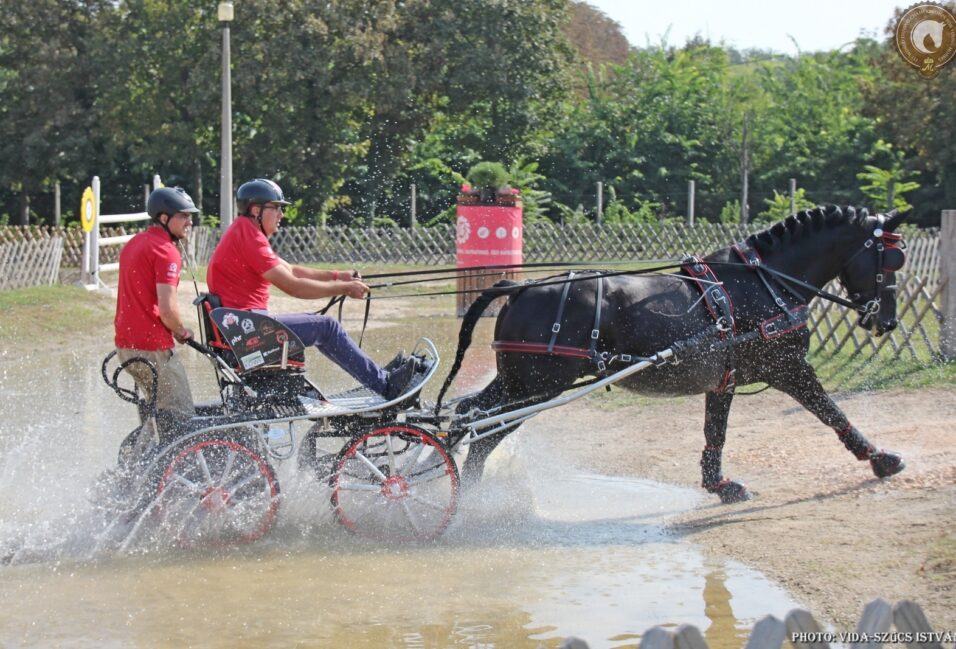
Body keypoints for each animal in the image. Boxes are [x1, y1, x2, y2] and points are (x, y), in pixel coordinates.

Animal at [436, 204, 908, 502]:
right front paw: (879, 458)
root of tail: (516, 288)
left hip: (518, 382)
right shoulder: (790, 367)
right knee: (482, 434)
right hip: (537, 387)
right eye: (891, 259)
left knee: (466, 417)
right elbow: (830, 411)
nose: (886, 321)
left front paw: (719, 484)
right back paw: (475, 505)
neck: (765, 283)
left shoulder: (724, 379)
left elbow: (715, 433)